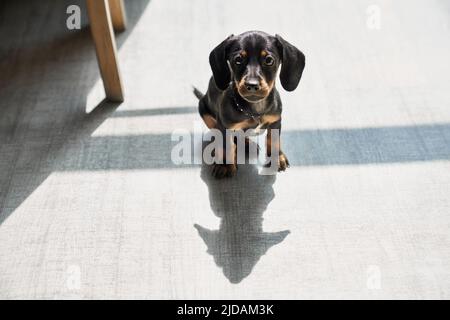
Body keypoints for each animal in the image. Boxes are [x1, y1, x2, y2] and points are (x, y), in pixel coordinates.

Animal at [194, 31, 306, 179]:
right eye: (238, 60)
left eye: (269, 60)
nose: (252, 85)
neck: (254, 109)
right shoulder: (225, 126)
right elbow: (226, 145)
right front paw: (225, 164)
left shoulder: (276, 121)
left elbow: (274, 141)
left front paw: (277, 158)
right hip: (204, 111)